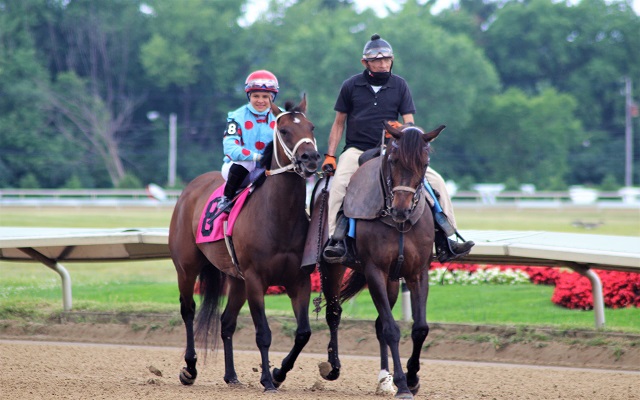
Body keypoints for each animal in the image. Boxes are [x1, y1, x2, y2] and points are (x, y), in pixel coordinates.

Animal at [169, 96, 320, 390]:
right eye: (284, 130)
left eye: (311, 127)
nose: (310, 158)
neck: (280, 217)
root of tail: (190, 188)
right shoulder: (255, 279)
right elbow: (263, 333)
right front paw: (267, 380)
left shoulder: (299, 280)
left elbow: (303, 333)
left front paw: (278, 373)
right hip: (186, 267)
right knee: (188, 310)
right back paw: (190, 368)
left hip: (235, 279)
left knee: (226, 322)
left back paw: (231, 375)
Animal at [318, 122, 442, 400]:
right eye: (394, 160)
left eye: (425, 163)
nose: (401, 209)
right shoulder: (374, 271)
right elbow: (391, 329)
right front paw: (403, 384)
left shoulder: (417, 272)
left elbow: (419, 328)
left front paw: (412, 378)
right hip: (332, 267)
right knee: (334, 313)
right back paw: (333, 366)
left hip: (392, 280)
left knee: (377, 323)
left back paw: (384, 379)